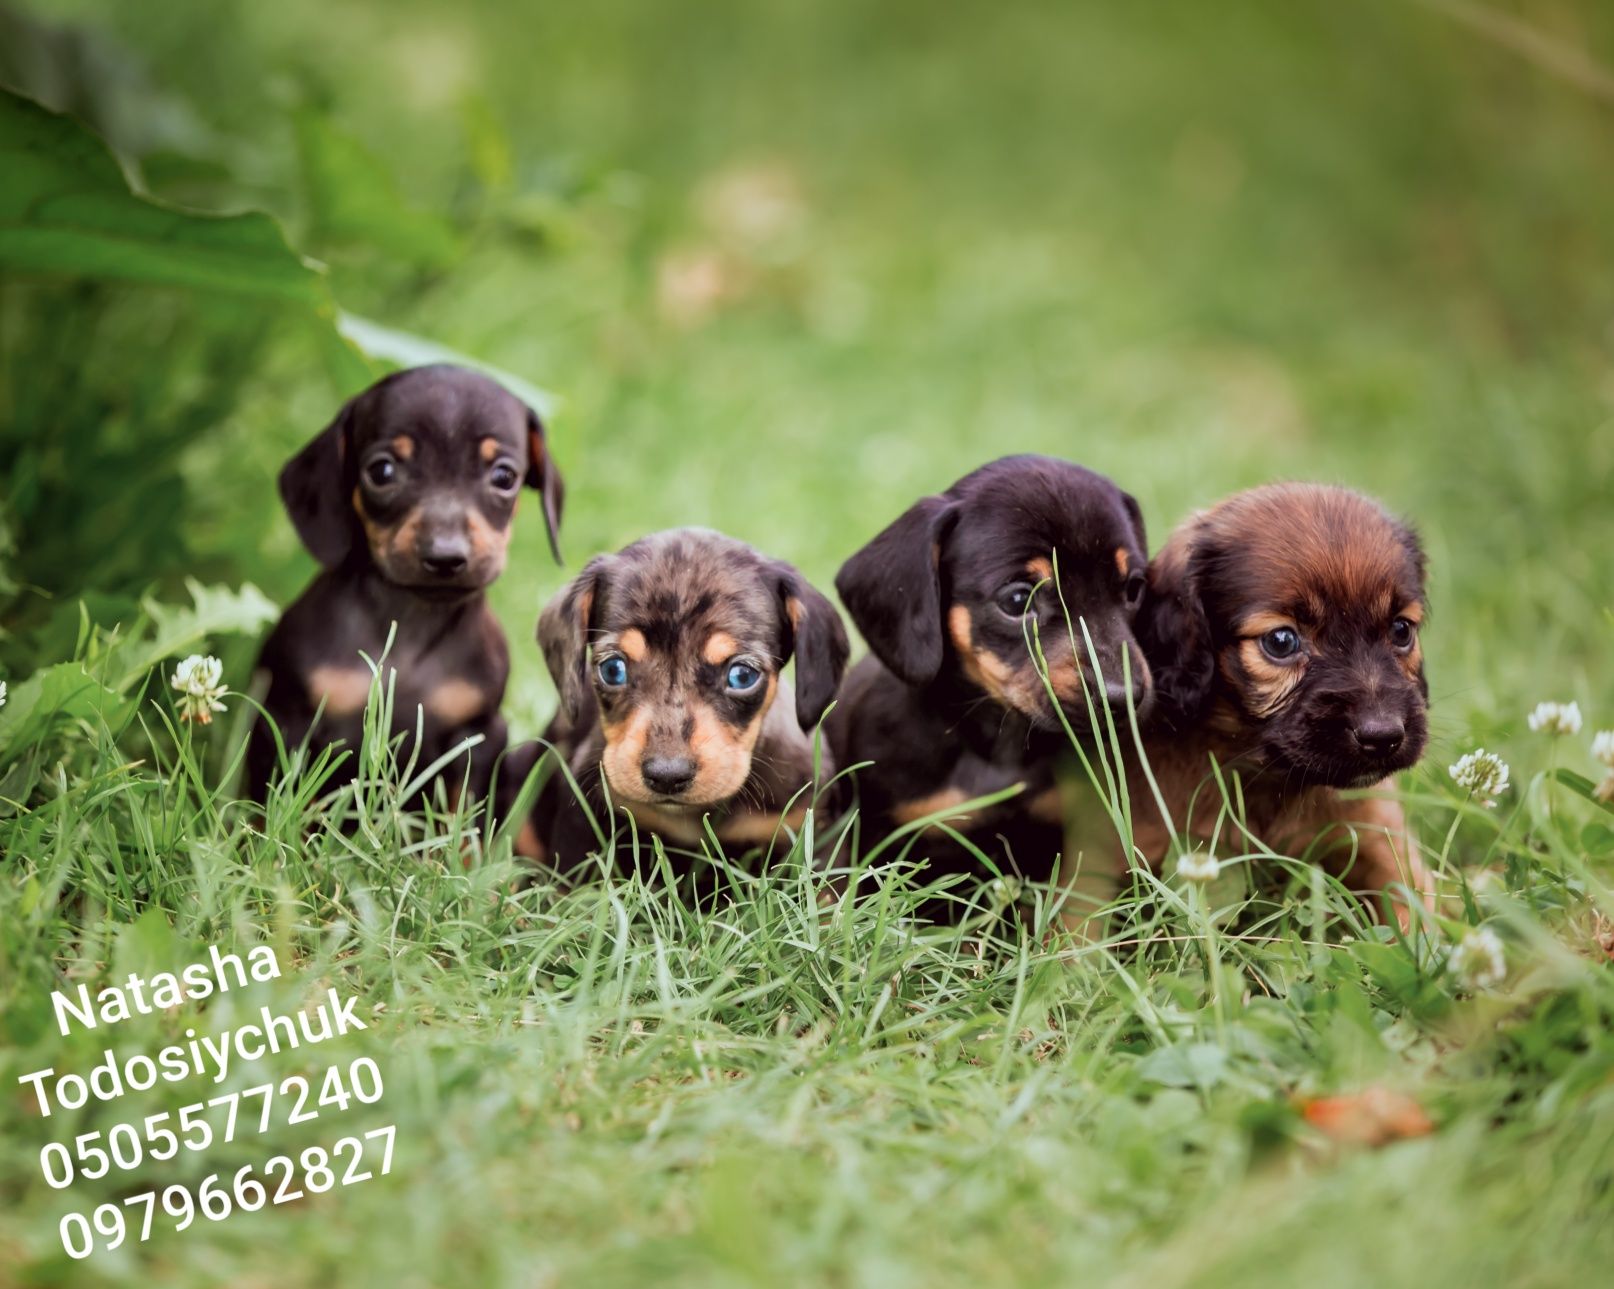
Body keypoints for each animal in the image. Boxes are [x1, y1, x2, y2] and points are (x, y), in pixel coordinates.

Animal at [242, 362, 564, 806]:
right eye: (382, 471)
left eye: (504, 476)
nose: (445, 556)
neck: (410, 621)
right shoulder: (285, 722)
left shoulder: (478, 737)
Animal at [1097, 487, 1439, 929]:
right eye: (1281, 641)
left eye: (1401, 630)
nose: (1383, 736)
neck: (1265, 778)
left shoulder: (1378, 835)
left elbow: (1415, 912)